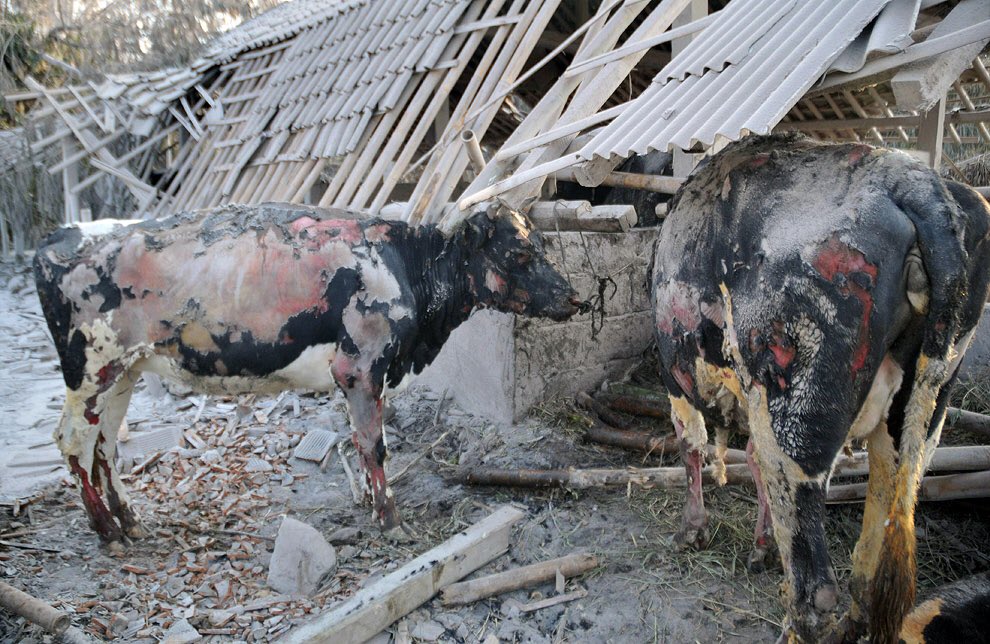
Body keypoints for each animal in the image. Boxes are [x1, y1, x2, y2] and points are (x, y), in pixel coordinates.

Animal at [35, 204, 584, 544]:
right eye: (519, 253)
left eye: (542, 244)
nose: (576, 298)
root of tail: (62, 233)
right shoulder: (359, 366)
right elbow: (374, 445)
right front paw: (390, 520)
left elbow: (361, 442)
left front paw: (371, 506)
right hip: (90, 369)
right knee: (72, 441)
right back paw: (106, 529)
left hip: (124, 371)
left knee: (105, 445)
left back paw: (129, 521)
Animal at [656, 133, 988, 640]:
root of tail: (912, 178)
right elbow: (749, 459)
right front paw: (762, 546)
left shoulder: (678, 373)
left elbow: (691, 443)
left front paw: (692, 531)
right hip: (922, 411)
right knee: (875, 552)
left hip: (794, 416)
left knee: (816, 587)